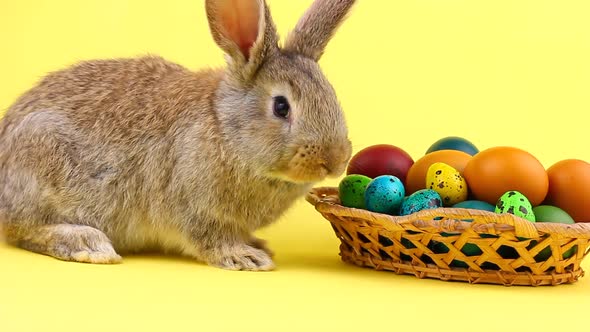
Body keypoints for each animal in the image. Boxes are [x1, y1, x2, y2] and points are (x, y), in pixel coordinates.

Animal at [0, 0, 356, 272]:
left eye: (331, 95)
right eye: (281, 107)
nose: (336, 160)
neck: (225, 128)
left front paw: (258, 245)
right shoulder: (192, 208)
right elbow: (209, 239)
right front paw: (246, 257)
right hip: (40, 162)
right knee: (23, 228)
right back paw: (88, 244)